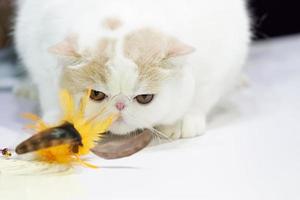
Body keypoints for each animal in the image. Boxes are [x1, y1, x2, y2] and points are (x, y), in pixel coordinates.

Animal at [13, 0, 251, 139]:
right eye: (96, 94)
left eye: (144, 97)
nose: (119, 105)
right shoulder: (38, 49)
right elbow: (49, 92)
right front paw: (57, 119)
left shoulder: (219, 62)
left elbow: (201, 96)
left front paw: (183, 121)